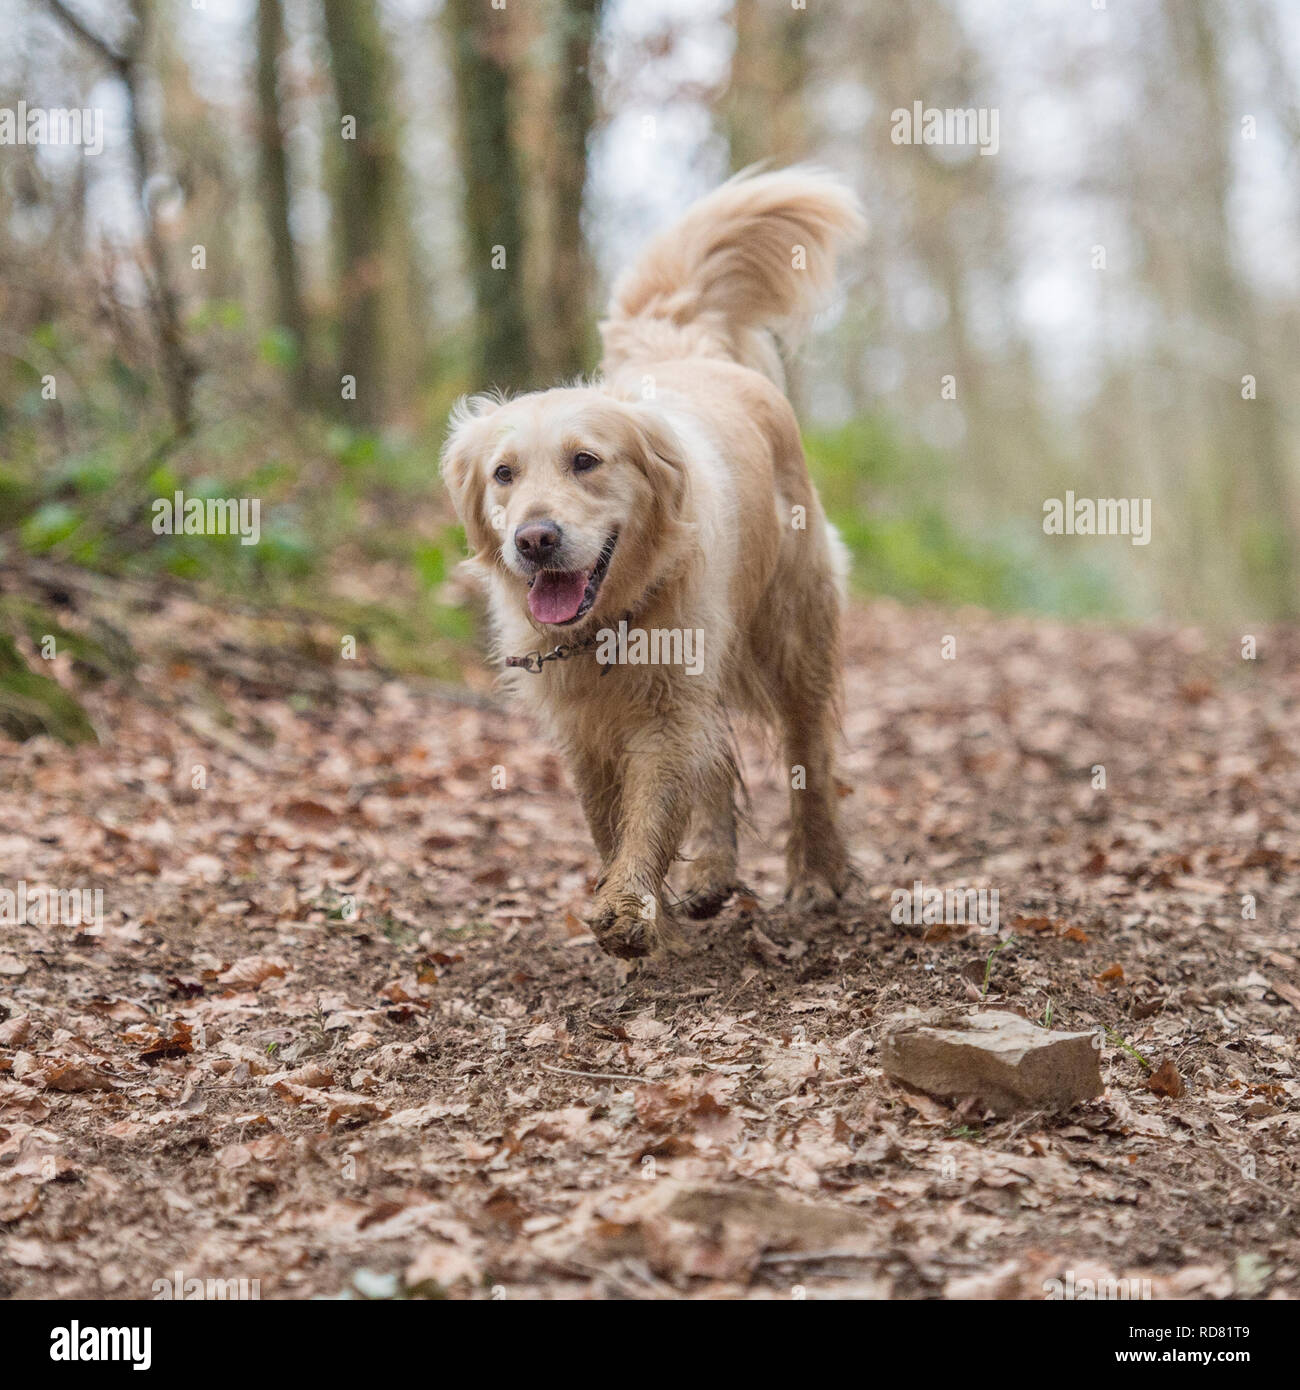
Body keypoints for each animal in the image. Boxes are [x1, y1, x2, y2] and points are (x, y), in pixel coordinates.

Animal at [444, 165, 862, 956]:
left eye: (585, 461)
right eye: (504, 474)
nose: (533, 539)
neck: (610, 620)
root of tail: (688, 350)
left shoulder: (667, 707)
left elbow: (656, 803)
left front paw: (630, 907)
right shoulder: (583, 724)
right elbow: (611, 815)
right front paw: (635, 899)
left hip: (794, 628)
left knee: (809, 755)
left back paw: (818, 873)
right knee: (721, 760)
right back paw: (712, 876)